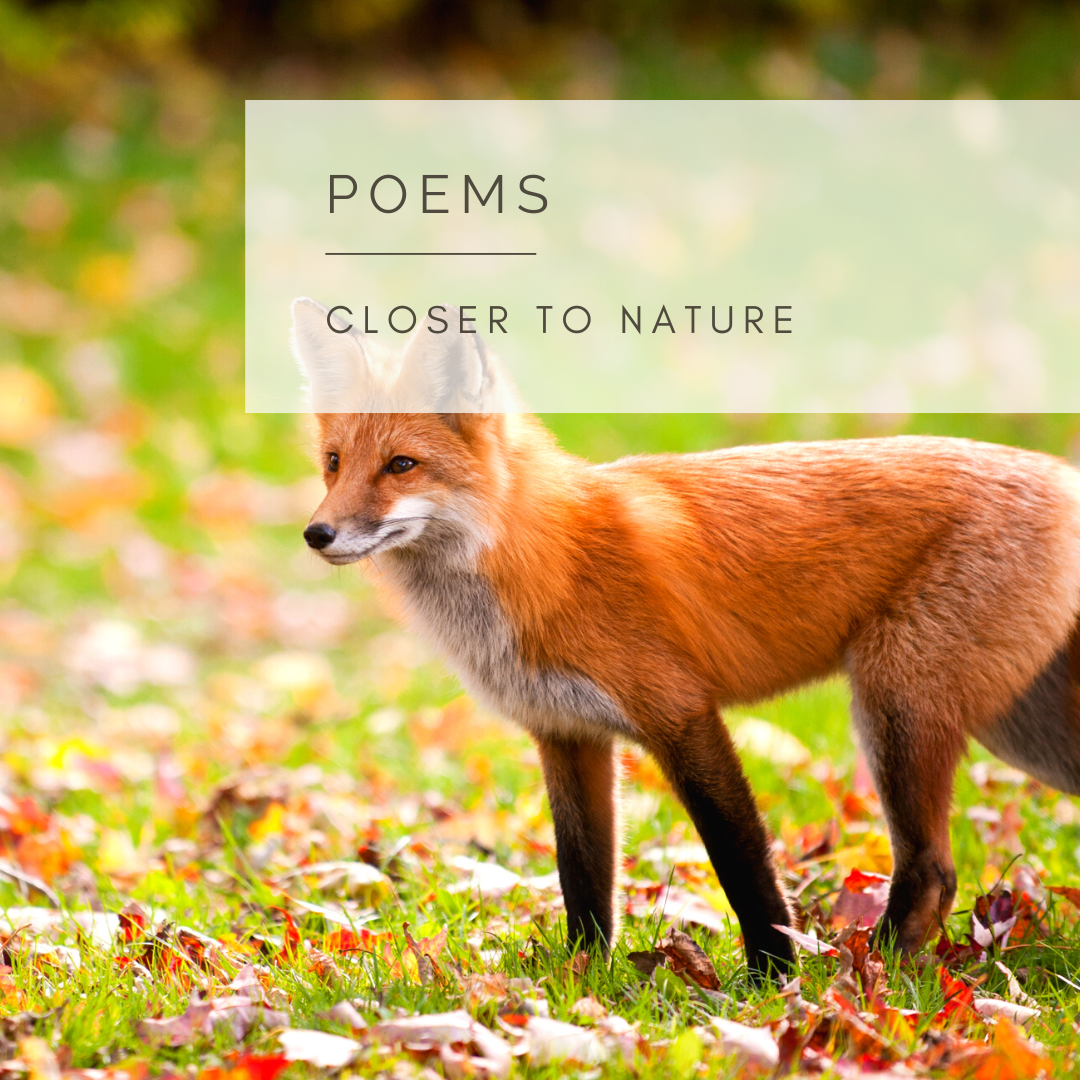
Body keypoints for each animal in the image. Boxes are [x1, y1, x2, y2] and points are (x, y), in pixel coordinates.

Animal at [291, 296, 1080, 980]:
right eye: (333, 462)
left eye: (401, 465)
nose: (317, 533)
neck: (543, 559)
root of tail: (1062, 473)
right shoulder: (566, 734)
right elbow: (584, 878)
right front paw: (583, 981)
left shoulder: (682, 714)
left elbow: (742, 863)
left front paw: (773, 980)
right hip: (1021, 732)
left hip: (898, 708)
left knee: (931, 873)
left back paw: (863, 979)